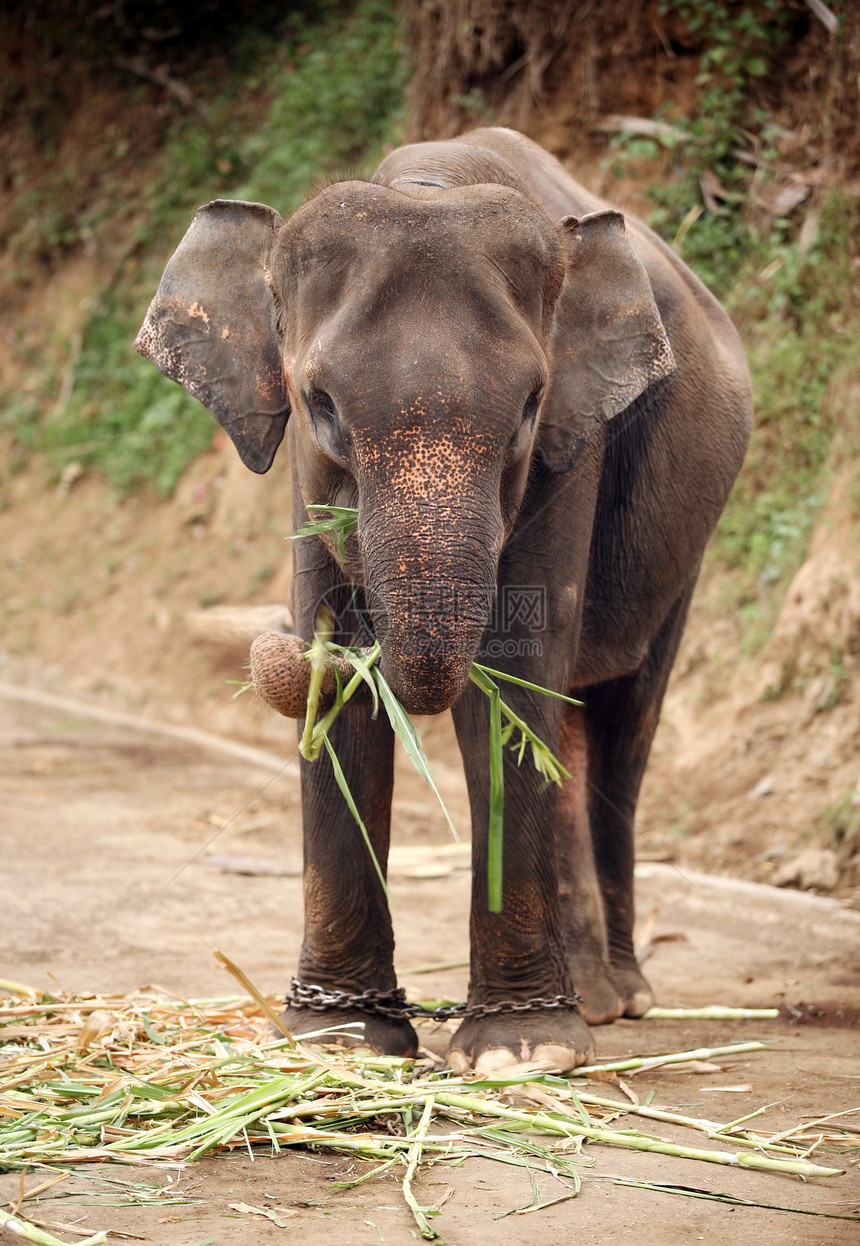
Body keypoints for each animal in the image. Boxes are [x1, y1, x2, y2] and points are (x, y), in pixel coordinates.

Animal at [133, 131, 747, 1076]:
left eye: (529, 406)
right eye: (319, 404)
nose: (271, 648)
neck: (428, 186)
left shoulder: (572, 447)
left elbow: (514, 671)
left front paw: (518, 1052)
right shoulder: (306, 477)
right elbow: (345, 688)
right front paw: (342, 1039)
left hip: (685, 552)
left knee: (622, 728)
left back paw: (620, 1004)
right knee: (574, 732)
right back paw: (593, 1003)